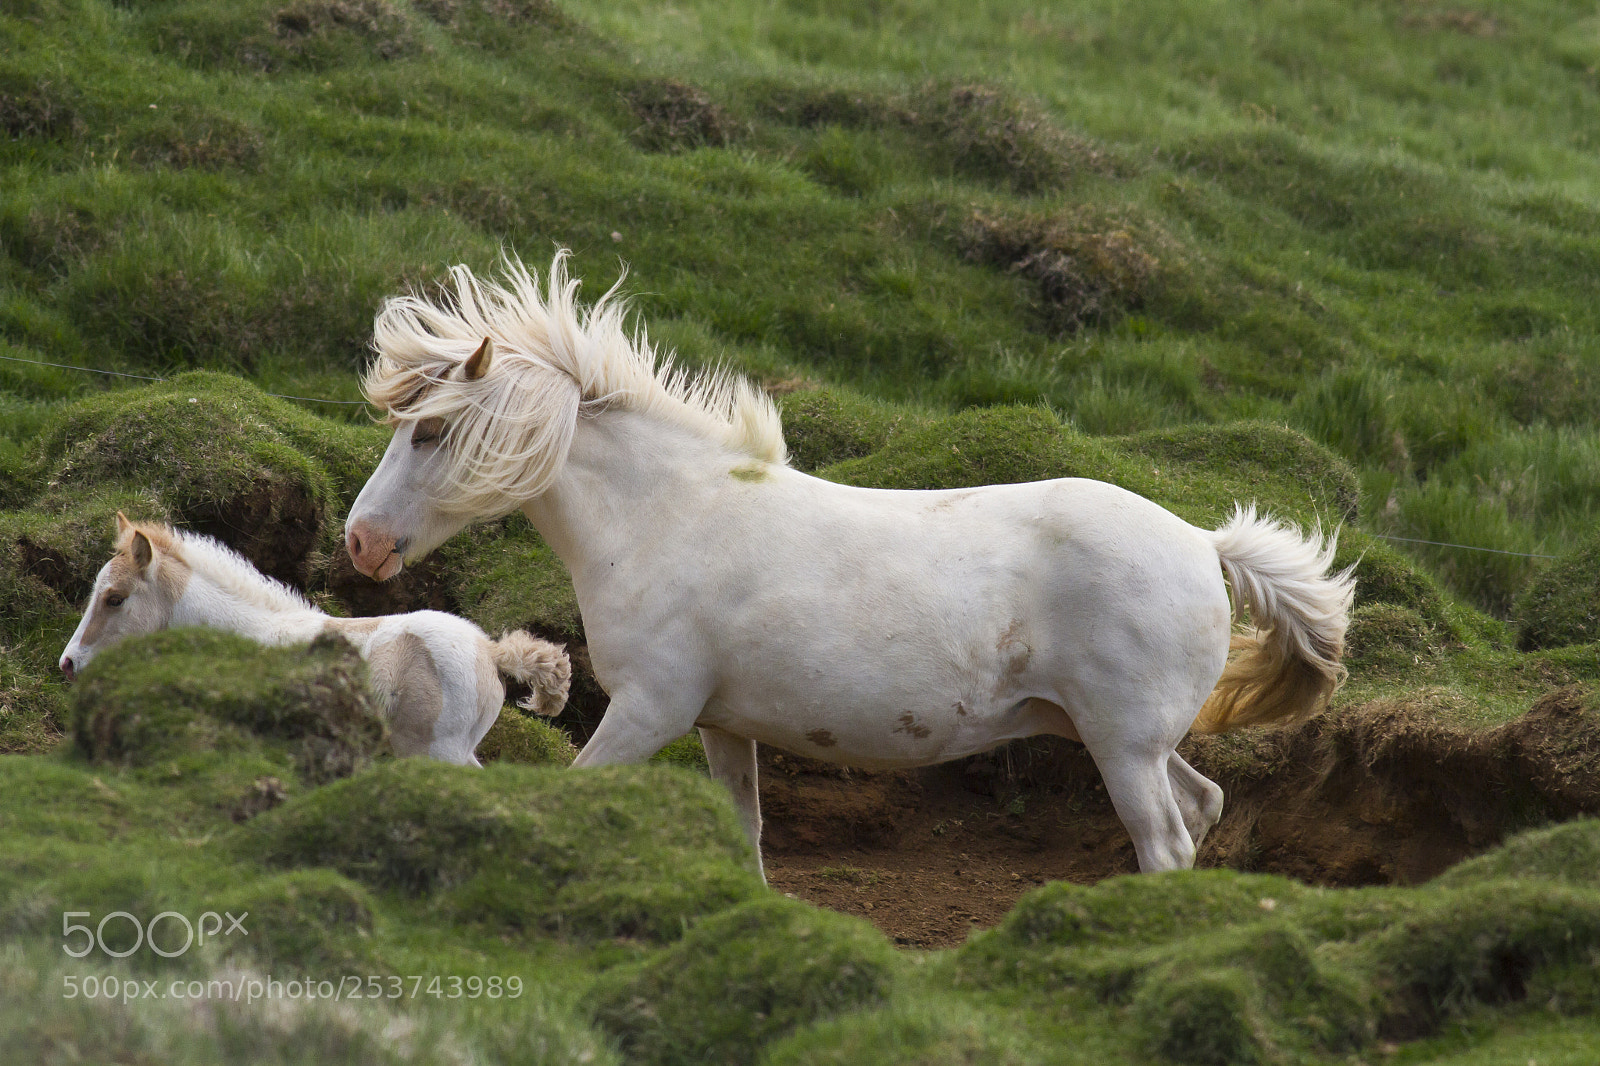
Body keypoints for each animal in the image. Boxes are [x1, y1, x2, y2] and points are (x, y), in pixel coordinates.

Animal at [343, 252, 1354, 876]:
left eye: (428, 432)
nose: (360, 542)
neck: (667, 518)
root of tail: (1203, 543)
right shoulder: (719, 723)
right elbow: (745, 832)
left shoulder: (647, 710)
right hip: (1113, 737)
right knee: (1205, 805)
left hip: (1123, 747)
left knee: (1167, 841)